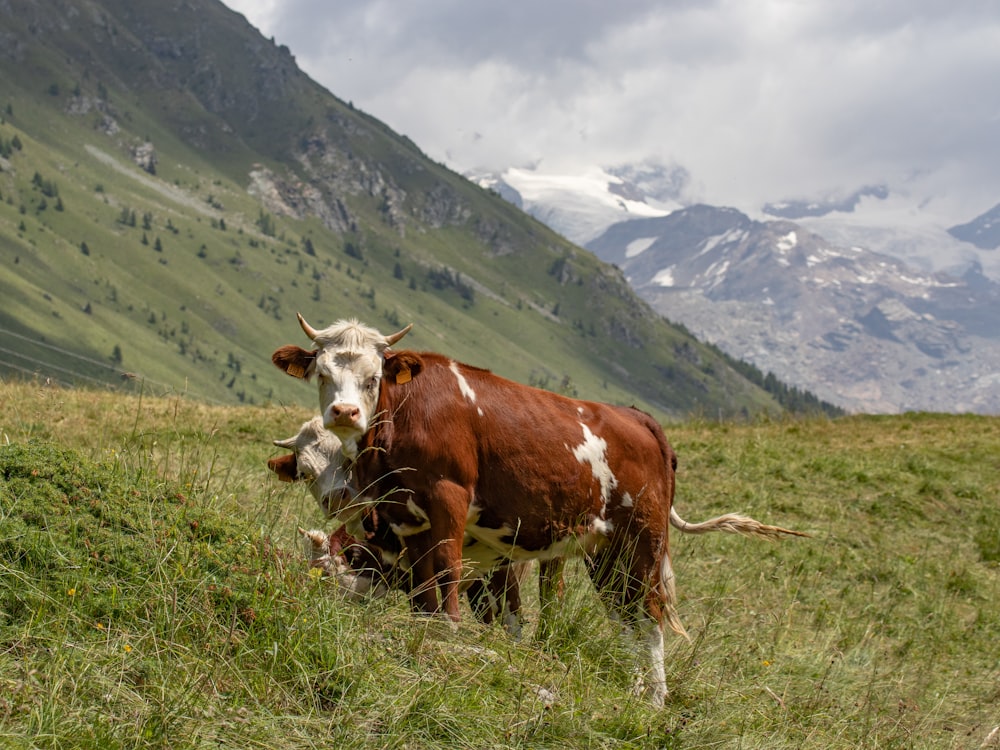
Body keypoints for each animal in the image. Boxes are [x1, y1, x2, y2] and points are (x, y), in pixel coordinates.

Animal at [272, 316, 804, 704]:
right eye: (324, 375)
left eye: (373, 377)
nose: (345, 413)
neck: (404, 418)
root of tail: (638, 418)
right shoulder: (407, 519)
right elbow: (427, 590)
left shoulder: (450, 501)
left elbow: (448, 577)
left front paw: (447, 640)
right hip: (604, 551)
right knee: (623, 615)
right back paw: (634, 692)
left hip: (644, 539)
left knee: (649, 615)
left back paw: (655, 700)